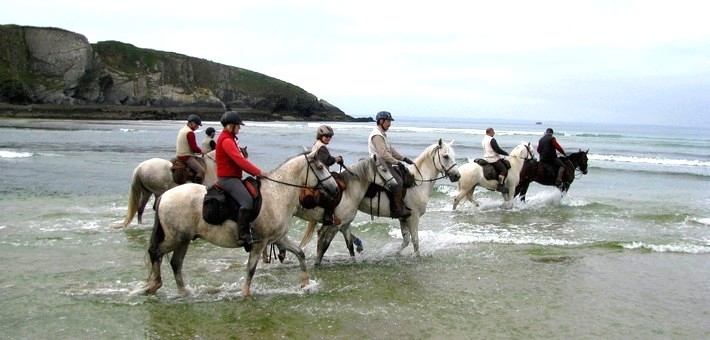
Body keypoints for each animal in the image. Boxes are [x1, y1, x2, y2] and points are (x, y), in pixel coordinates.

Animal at [140, 151, 342, 298]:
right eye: (320, 167)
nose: (335, 189)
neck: (277, 193)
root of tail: (165, 196)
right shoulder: (260, 243)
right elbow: (250, 270)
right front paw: (245, 294)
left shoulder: (277, 239)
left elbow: (300, 253)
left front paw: (306, 284)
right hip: (176, 238)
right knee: (155, 253)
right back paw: (154, 285)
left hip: (184, 240)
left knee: (176, 263)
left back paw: (184, 291)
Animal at [304, 138, 462, 262]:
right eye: (446, 156)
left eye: (454, 156)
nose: (457, 176)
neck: (418, 182)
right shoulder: (413, 217)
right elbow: (415, 241)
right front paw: (417, 257)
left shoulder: (404, 218)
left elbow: (406, 240)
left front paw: (394, 254)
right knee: (329, 231)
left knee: (338, 230)